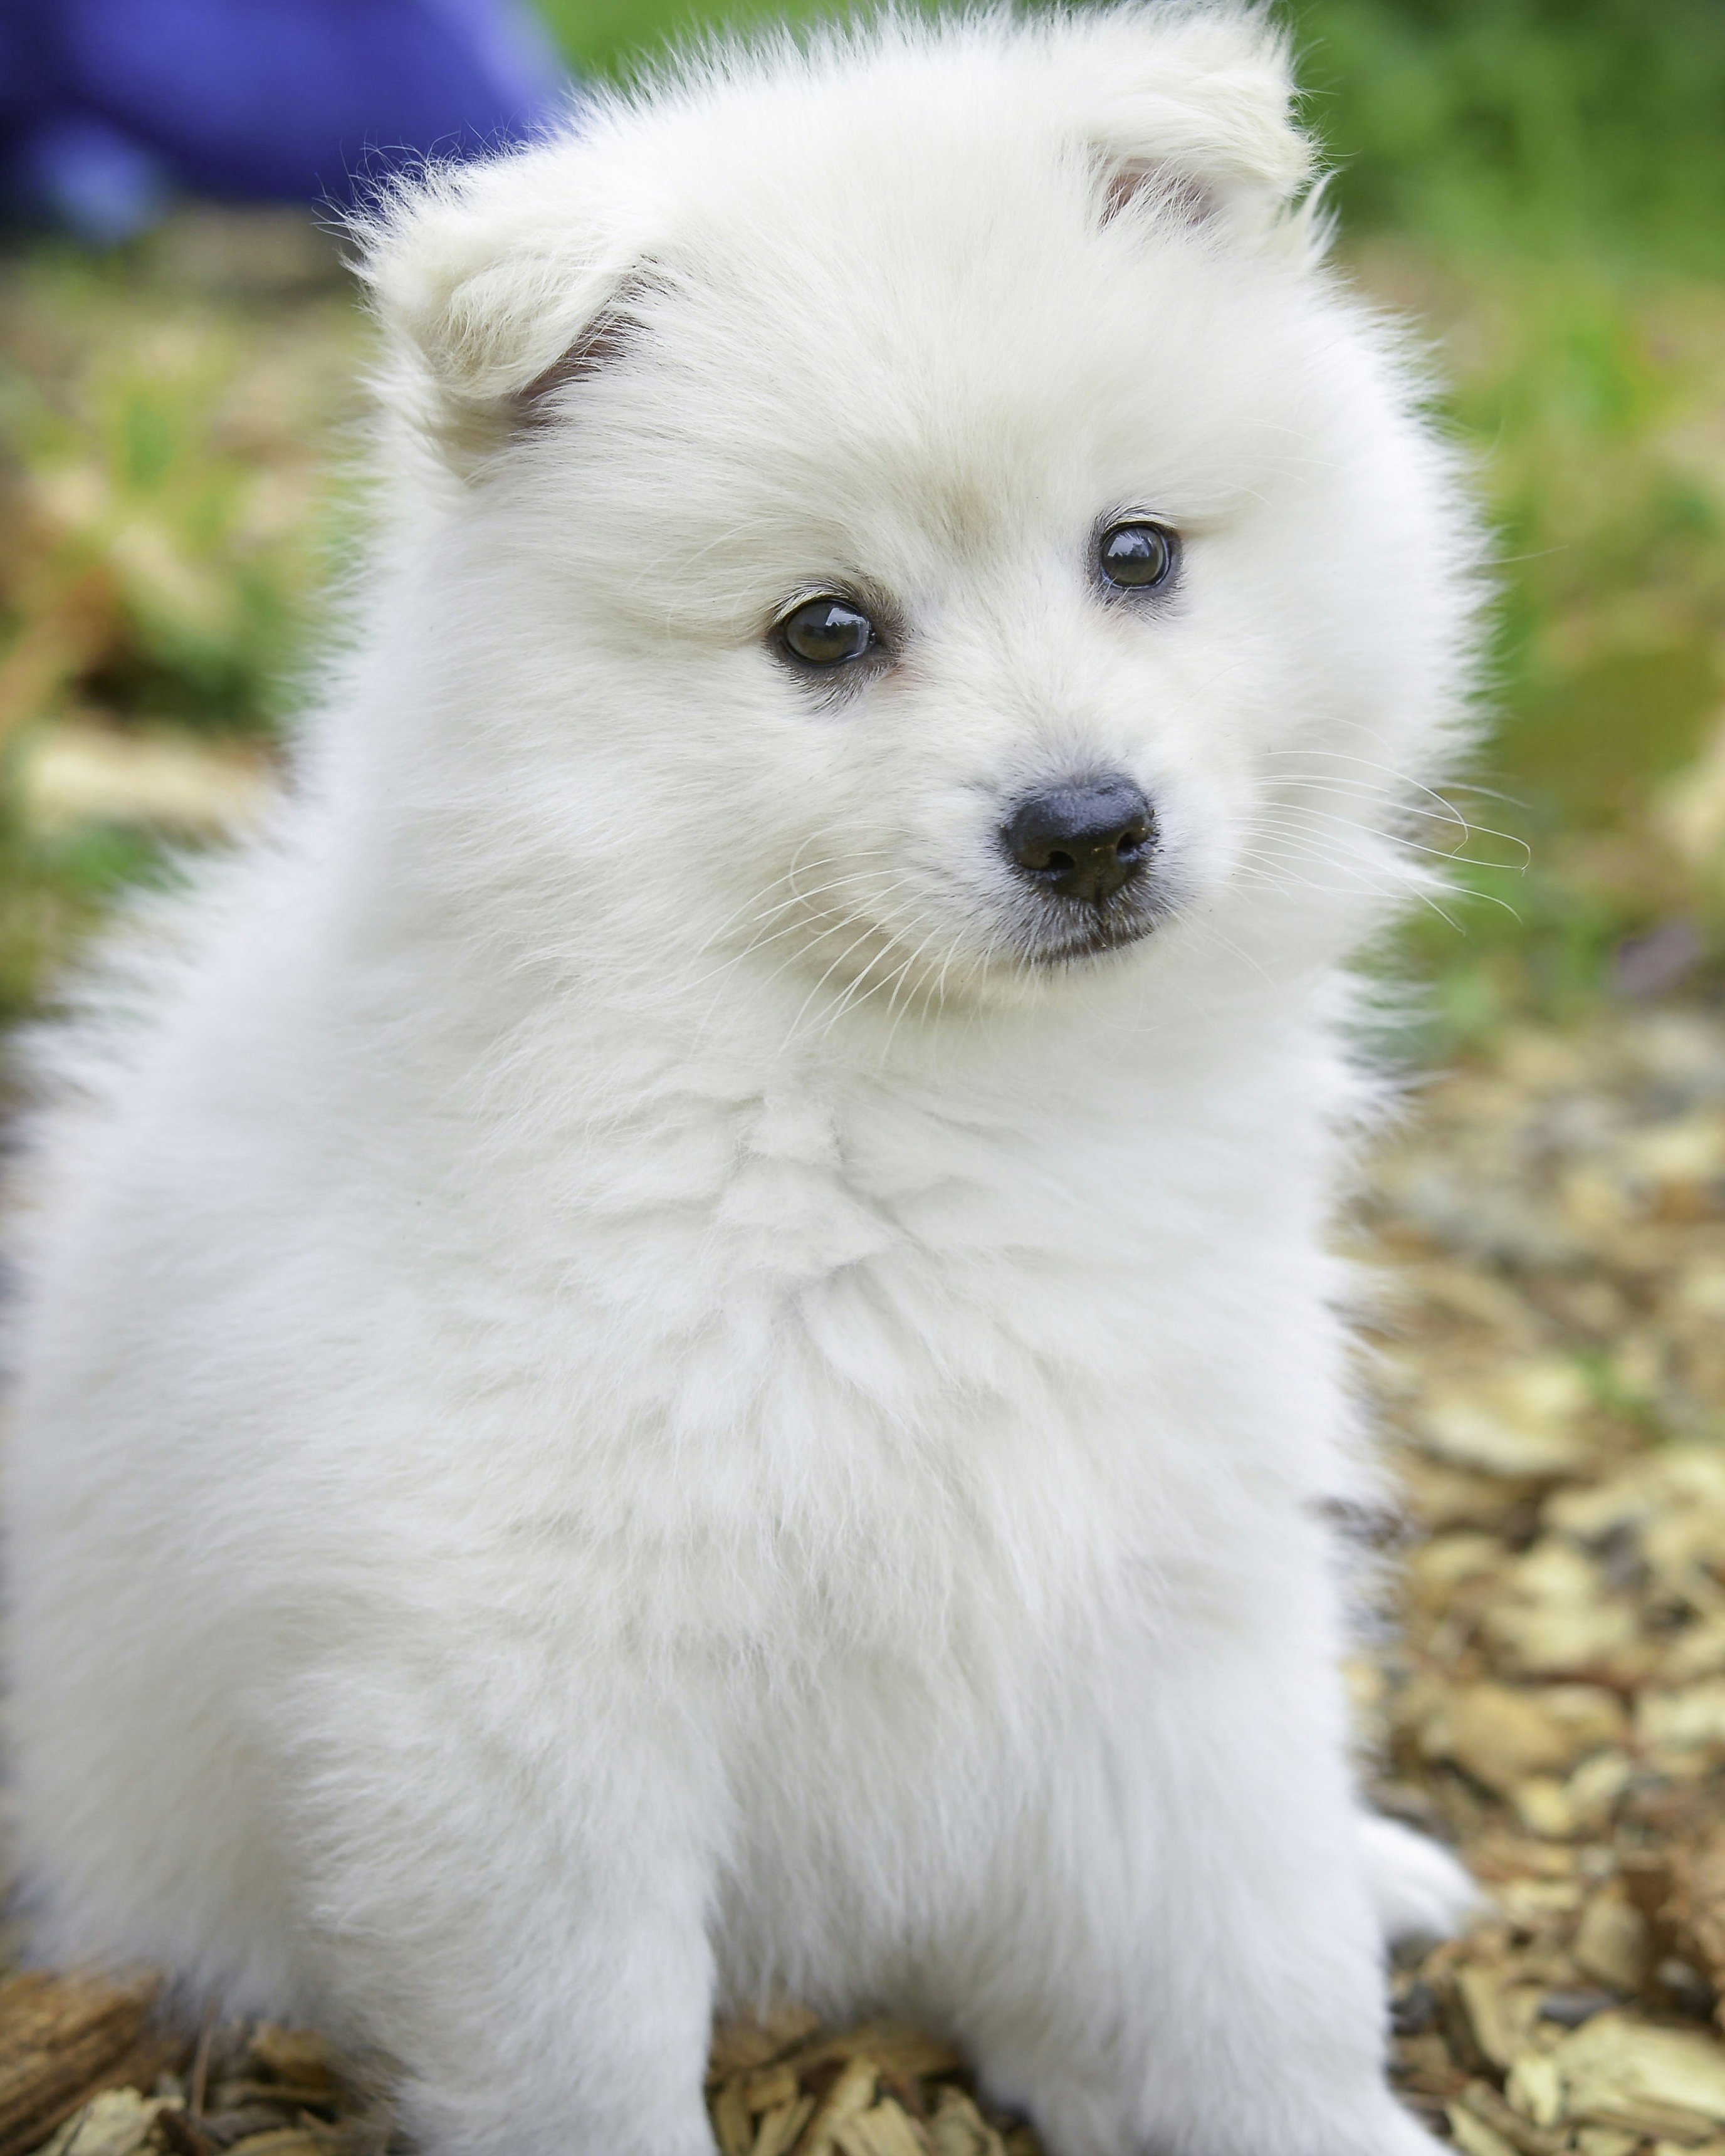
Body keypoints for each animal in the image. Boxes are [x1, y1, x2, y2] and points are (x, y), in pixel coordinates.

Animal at [6, 16, 1474, 2156]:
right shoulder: (524, 1700)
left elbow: (1251, 1958)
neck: (887, 1104)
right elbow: (590, 2067)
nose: (1088, 829)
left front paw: (1320, 2108)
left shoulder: (1171, 1575)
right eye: (824, 630)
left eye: (1134, 554)